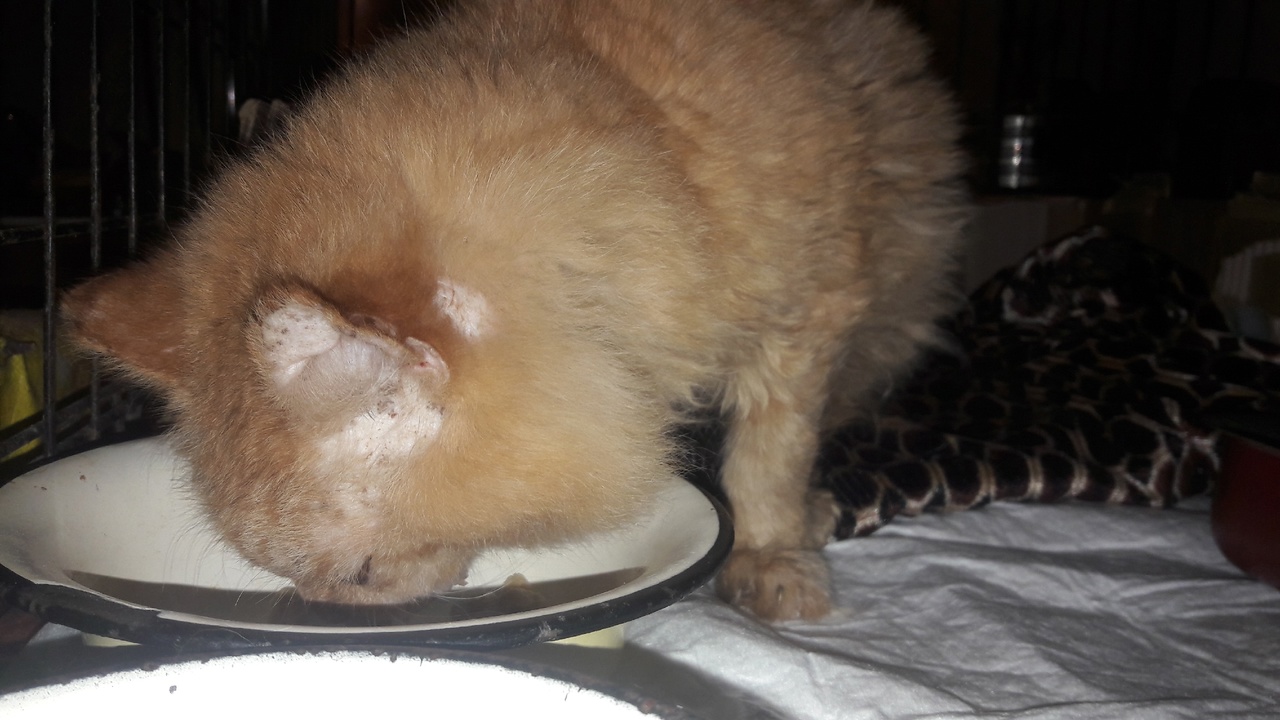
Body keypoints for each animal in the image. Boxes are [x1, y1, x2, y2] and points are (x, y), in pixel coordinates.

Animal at [63, 0, 966, 621]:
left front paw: (772, 549)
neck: (657, 151)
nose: (324, 616)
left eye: (358, 577)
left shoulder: (809, 314)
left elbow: (768, 459)